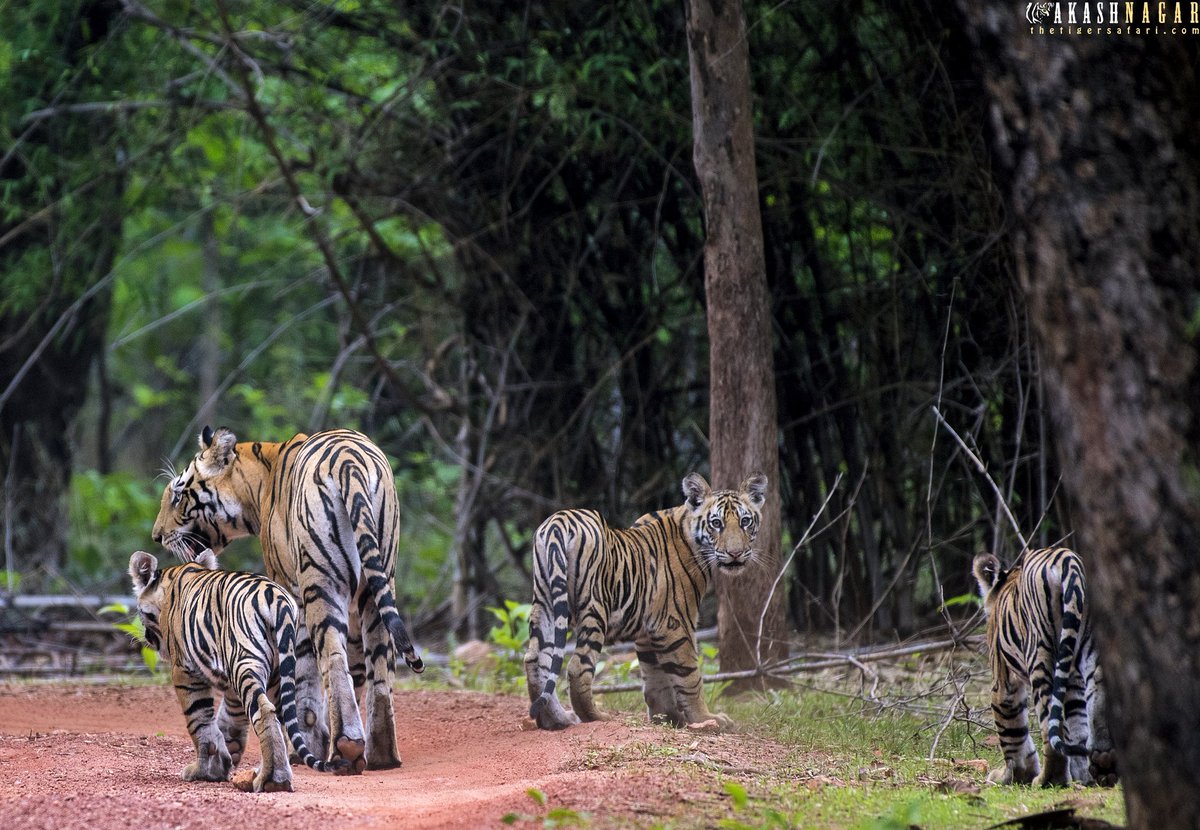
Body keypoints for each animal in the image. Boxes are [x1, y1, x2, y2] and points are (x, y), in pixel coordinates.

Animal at [128, 549, 351, 791]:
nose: (147, 638)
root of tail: (278, 598)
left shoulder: (184, 671)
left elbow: (199, 720)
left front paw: (203, 770)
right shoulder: (229, 681)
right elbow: (229, 719)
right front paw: (223, 762)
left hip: (246, 661)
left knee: (264, 712)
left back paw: (273, 779)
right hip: (276, 673)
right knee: (281, 718)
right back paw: (264, 773)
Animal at [151, 426, 423, 774]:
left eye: (177, 494)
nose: (157, 536)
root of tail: (348, 460)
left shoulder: (289, 590)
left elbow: (301, 675)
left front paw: (306, 743)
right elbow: (357, 671)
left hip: (319, 582)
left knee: (332, 660)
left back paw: (345, 748)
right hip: (380, 580)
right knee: (379, 668)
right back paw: (381, 755)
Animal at [525, 471, 767, 731]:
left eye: (745, 521)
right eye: (716, 523)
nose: (735, 553)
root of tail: (557, 523)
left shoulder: (648, 629)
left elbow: (655, 675)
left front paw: (667, 717)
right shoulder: (675, 622)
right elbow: (689, 674)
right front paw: (705, 718)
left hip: (545, 603)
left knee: (535, 660)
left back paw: (554, 720)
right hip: (594, 606)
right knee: (578, 667)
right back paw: (594, 717)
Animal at [972, 547, 1117, 787]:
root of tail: (1069, 561)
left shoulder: (1004, 678)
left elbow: (1011, 727)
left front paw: (1013, 775)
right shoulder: (1073, 680)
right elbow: (1077, 724)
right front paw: (1082, 774)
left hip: (1039, 653)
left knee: (1048, 721)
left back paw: (1048, 779)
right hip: (1090, 644)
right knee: (1097, 691)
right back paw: (1103, 763)